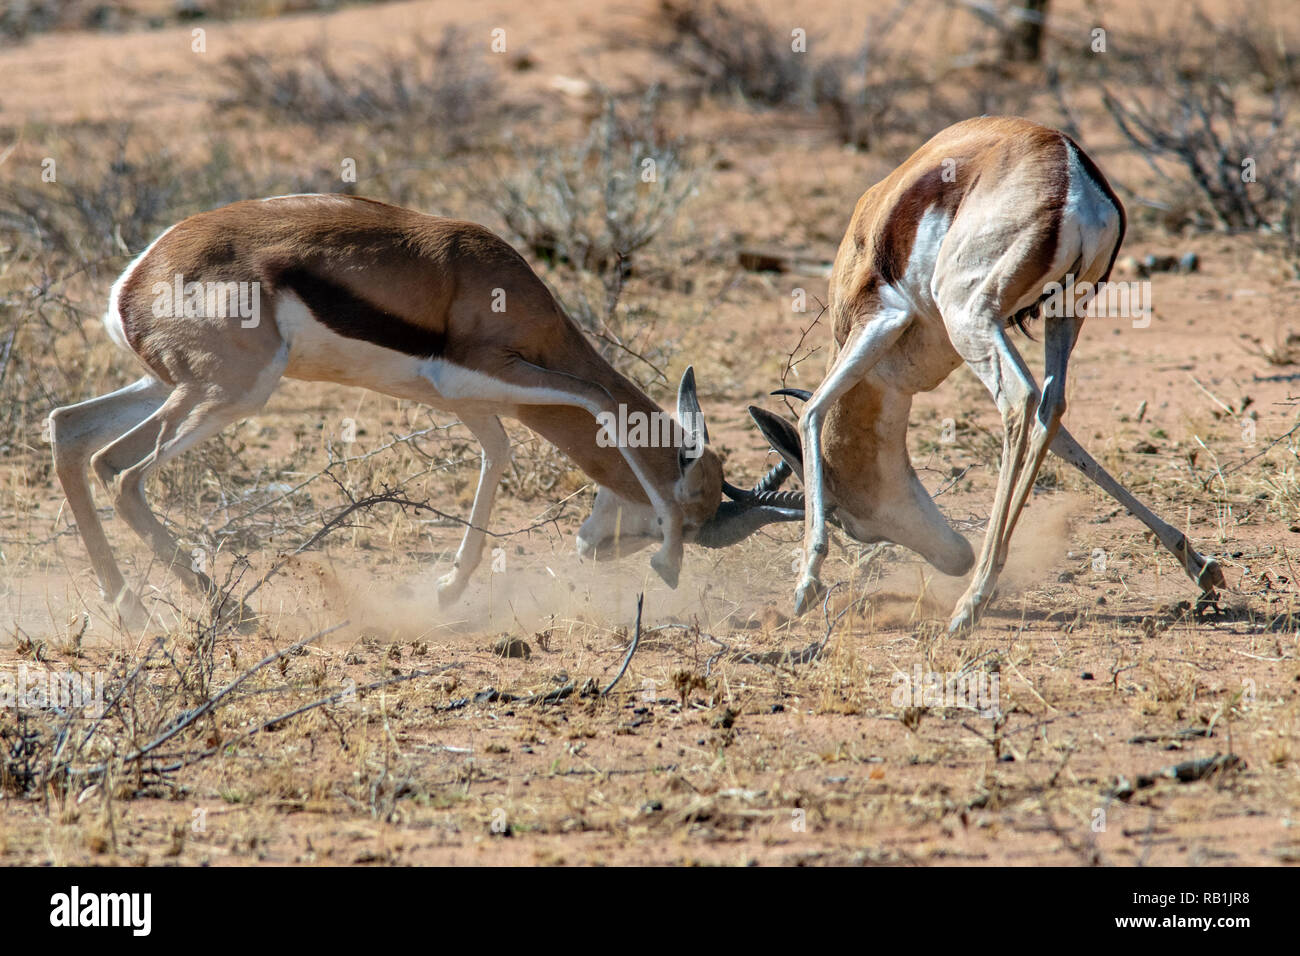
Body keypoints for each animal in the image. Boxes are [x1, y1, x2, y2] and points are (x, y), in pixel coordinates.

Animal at [53, 195, 800, 629]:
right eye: (694, 518)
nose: (592, 548)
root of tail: (136, 278)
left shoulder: (474, 402)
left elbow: (497, 456)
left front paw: (444, 592)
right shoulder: (487, 375)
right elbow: (597, 401)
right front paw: (667, 565)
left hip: (167, 386)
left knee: (72, 434)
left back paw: (133, 612)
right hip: (231, 393)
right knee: (121, 472)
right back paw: (229, 613)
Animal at [748, 115, 1222, 632]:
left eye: (845, 516)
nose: (956, 556)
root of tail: (1068, 165)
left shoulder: (878, 321)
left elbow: (812, 412)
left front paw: (805, 586)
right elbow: (1067, 443)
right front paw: (1199, 564)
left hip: (970, 318)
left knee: (1020, 401)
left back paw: (973, 599)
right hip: (1062, 313)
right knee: (1051, 408)